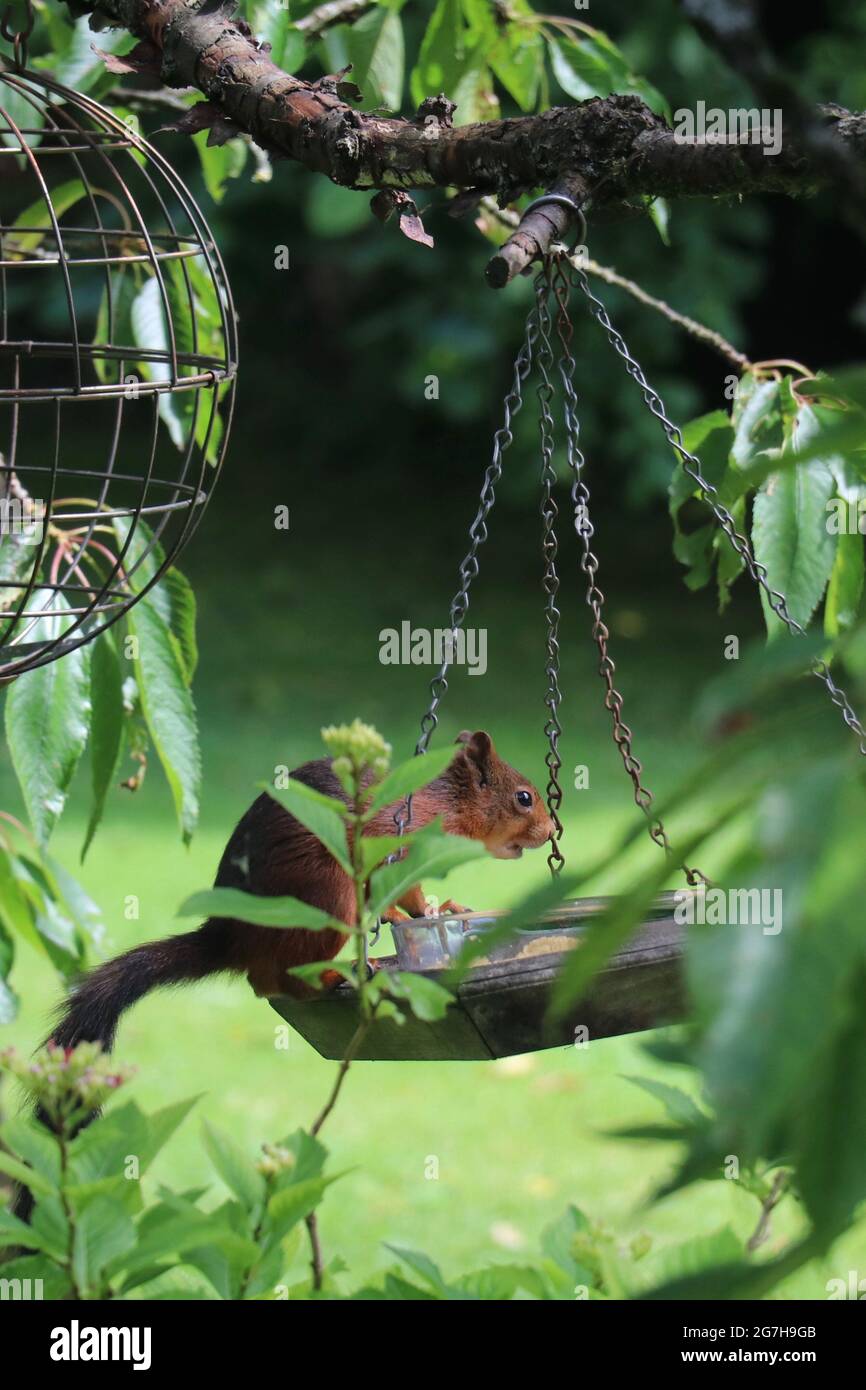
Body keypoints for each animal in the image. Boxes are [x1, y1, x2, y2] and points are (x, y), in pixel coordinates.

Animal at [47, 733, 553, 1045]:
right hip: (325, 893)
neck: (445, 800)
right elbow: (389, 888)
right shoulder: (393, 838)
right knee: (280, 979)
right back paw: (334, 976)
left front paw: (438, 908)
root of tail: (231, 937)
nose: (551, 830)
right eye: (524, 798)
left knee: (263, 982)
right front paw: (406, 916)